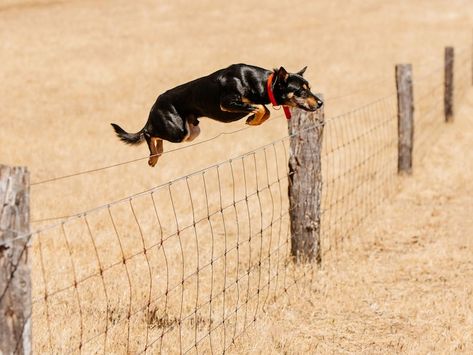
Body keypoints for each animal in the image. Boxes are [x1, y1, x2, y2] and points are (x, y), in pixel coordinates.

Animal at [112, 63, 322, 167]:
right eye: (301, 91)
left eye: (310, 88)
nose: (320, 102)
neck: (260, 81)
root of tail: (155, 104)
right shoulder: (227, 103)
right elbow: (262, 109)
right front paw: (252, 120)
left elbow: (265, 110)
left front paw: (253, 120)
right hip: (178, 131)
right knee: (148, 132)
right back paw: (153, 157)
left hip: (191, 132)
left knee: (156, 137)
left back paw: (156, 155)